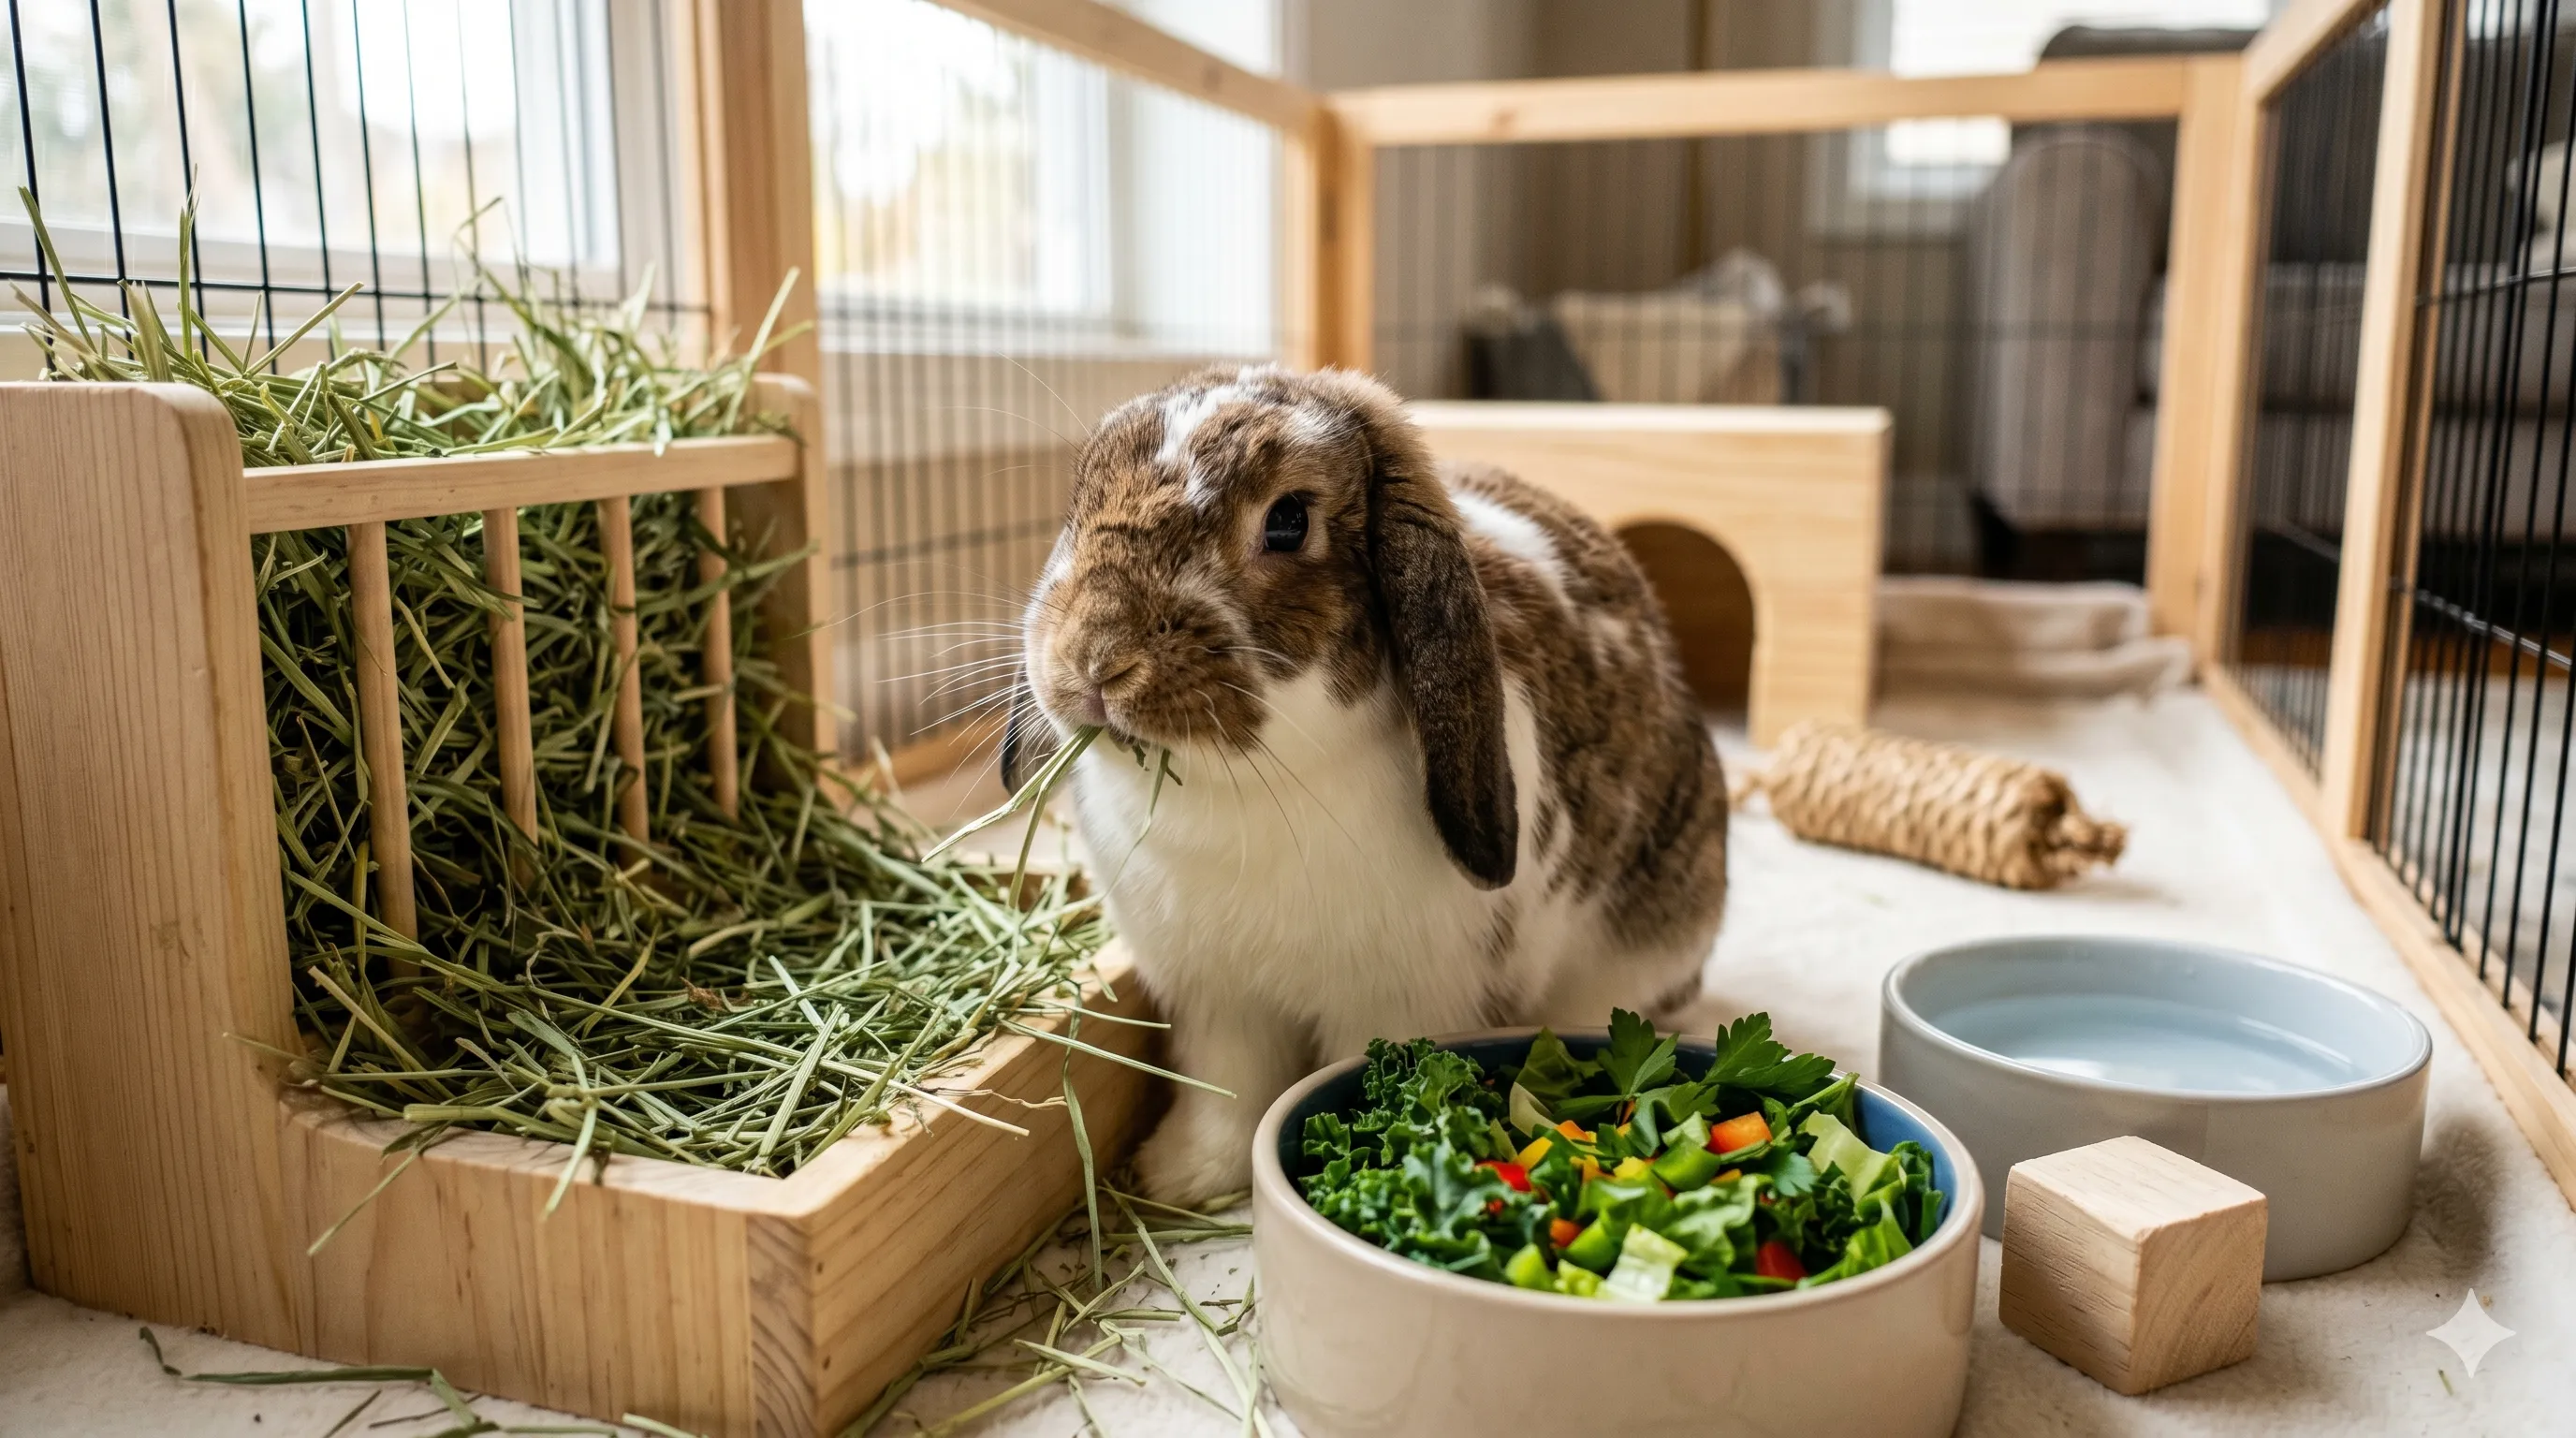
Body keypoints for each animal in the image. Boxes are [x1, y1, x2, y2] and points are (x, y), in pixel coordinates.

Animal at [1002, 365, 1730, 1205]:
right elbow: (1229, 1091)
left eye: (1288, 521)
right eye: (1081, 499)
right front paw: (1184, 1178)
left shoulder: (1394, 1001)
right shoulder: (1219, 1002)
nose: (1097, 659)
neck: (1251, 792)